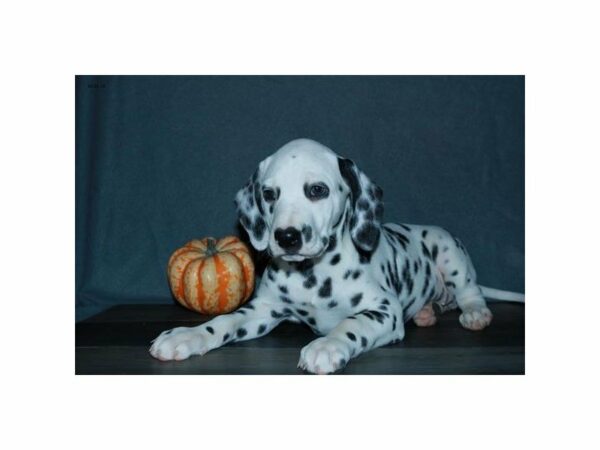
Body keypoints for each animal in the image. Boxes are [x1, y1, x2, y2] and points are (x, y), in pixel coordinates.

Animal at [151, 137, 524, 372]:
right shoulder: (263, 310)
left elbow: (350, 323)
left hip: (448, 248)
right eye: (269, 194)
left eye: (317, 190)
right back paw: (426, 313)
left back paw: (475, 313)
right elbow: (225, 321)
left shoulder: (384, 311)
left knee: (469, 290)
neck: (313, 276)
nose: (286, 237)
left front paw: (328, 345)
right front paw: (187, 336)